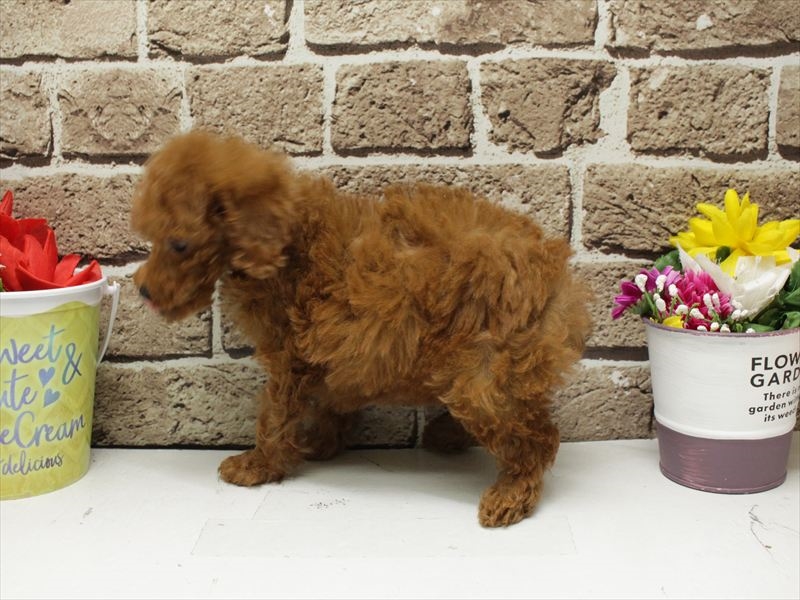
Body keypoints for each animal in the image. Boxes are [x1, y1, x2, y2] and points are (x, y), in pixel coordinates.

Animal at [131, 131, 590, 527]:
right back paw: (447, 435)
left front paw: (258, 464)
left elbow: (275, 415)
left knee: (538, 436)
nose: (143, 290)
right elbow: (334, 400)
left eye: (179, 245)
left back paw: (511, 494)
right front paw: (320, 444)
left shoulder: (290, 359)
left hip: (486, 368)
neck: (289, 241)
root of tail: (555, 273)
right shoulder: (339, 352)